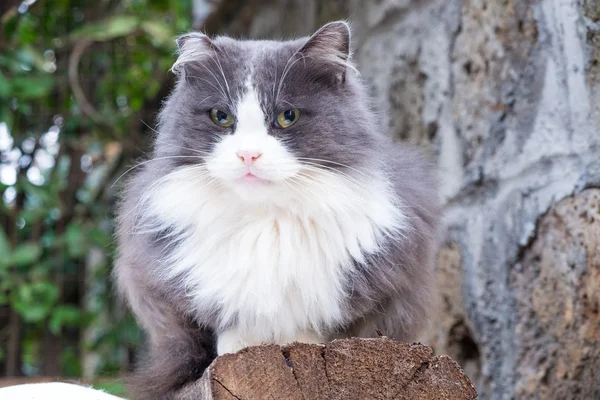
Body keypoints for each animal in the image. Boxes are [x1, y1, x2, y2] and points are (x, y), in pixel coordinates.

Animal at [113, 20, 440, 398]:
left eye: (288, 117)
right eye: (221, 117)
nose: (248, 155)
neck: (265, 221)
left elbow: (311, 329)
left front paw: (301, 344)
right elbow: (228, 324)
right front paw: (238, 347)